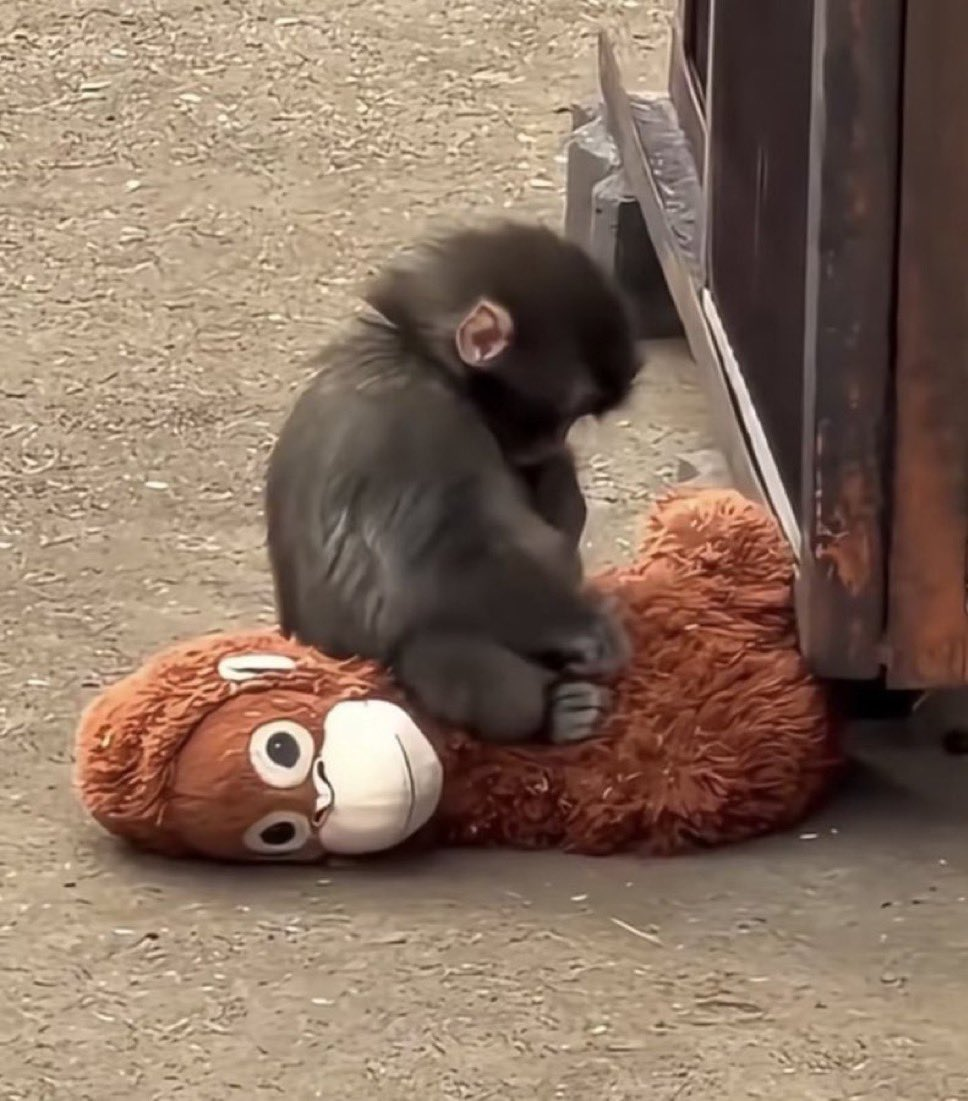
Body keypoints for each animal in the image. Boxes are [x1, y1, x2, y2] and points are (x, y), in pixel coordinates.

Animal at [266, 221, 641, 745]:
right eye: (566, 411)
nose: (554, 440)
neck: (420, 357)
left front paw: (559, 476)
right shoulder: (420, 426)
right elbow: (446, 569)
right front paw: (588, 628)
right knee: (435, 642)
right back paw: (552, 712)